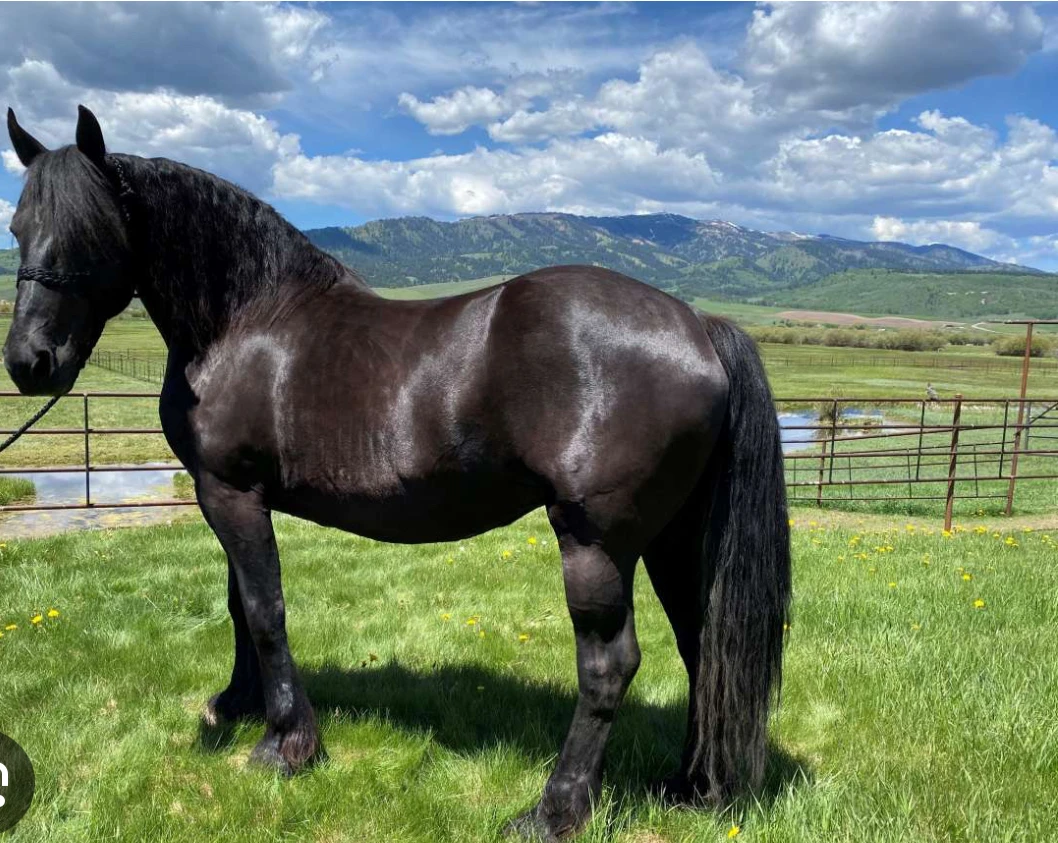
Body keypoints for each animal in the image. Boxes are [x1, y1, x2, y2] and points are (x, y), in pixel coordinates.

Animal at [3, 105, 791, 841]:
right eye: (17, 226)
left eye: (87, 233)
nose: (29, 363)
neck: (246, 320)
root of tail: (698, 325)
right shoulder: (230, 492)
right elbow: (239, 607)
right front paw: (237, 704)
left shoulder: (229, 494)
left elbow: (265, 610)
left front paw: (285, 745)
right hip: (675, 538)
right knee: (703, 646)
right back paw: (694, 786)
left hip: (595, 542)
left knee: (609, 665)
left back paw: (553, 810)